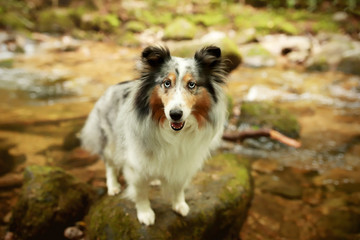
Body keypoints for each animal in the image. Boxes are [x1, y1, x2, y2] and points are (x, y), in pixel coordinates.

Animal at [81, 45, 228, 225]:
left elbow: (178, 186)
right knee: (110, 164)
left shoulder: (183, 162)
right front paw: (145, 214)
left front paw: (180, 205)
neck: (173, 133)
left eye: (192, 84)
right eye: (166, 83)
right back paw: (113, 186)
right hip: (110, 141)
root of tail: (111, 88)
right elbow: (141, 192)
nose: (175, 114)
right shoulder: (136, 164)